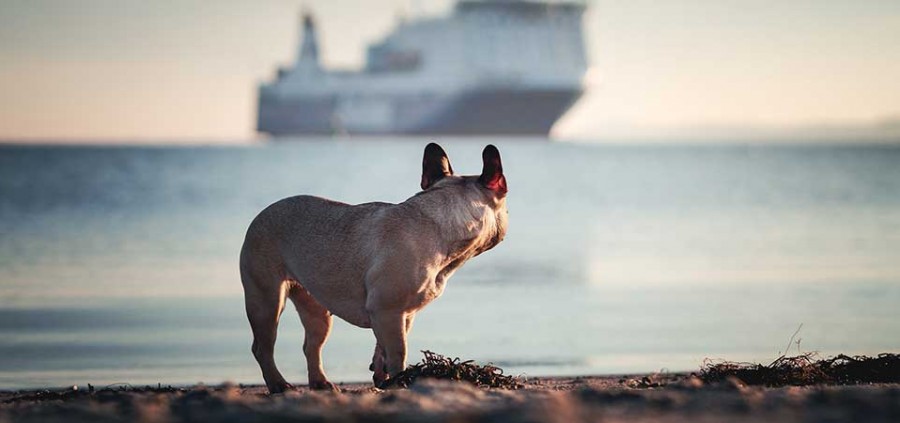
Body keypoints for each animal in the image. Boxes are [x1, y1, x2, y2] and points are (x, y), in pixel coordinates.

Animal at [239, 143, 506, 394]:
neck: (439, 223)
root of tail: (261, 214)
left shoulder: (399, 314)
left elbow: (382, 348)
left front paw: (382, 377)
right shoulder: (388, 310)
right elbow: (398, 352)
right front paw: (400, 381)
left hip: (316, 308)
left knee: (312, 345)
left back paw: (320, 383)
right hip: (267, 299)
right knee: (262, 347)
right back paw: (278, 384)